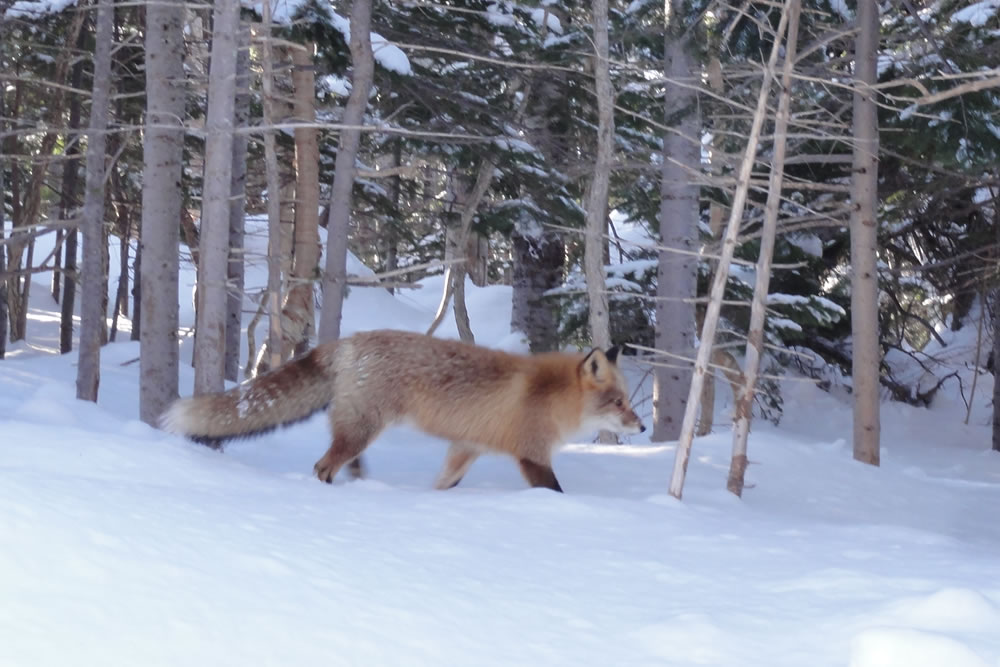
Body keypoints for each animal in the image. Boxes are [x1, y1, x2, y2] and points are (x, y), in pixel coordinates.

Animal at [162, 328, 648, 490]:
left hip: (358, 430)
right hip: (362, 429)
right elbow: (555, 491)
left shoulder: (465, 447)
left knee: (341, 462)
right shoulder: (532, 455)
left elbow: (443, 484)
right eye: (619, 402)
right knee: (322, 466)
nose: (642, 428)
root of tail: (348, 340)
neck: (551, 396)